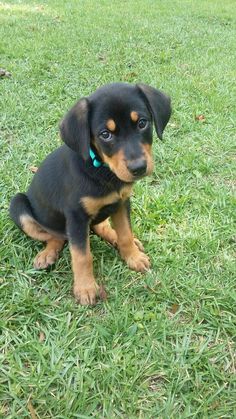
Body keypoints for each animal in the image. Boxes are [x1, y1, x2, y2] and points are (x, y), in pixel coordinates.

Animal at [9, 83, 171, 306]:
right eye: (105, 134)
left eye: (142, 123)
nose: (138, 168)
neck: (103, 171)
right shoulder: (76, 217)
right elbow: (82, 255)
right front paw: (85, 288)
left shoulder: (122, 202)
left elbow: (125, 233)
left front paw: (133, 256)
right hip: (18, 205)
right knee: (55, 236)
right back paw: (47, 254)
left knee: (99, 227)